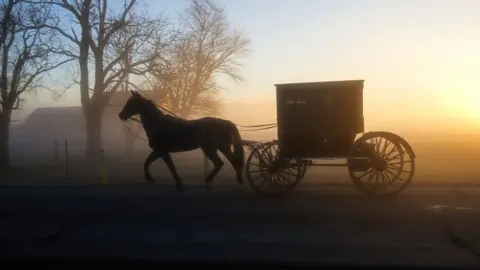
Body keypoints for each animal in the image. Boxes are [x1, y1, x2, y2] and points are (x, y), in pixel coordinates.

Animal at [116, 90, 244, 192]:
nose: (121, 115)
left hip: (213, 148)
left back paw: (213, 182)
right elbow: (147, 162)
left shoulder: (162, 151)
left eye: (130, 103)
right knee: (228, 163)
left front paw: (177, 184)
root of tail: (226, 122)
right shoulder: (158, 151)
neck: (157, 124)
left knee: (223, 163)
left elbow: (170, 167)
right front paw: (151, 179)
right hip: (219, 148)